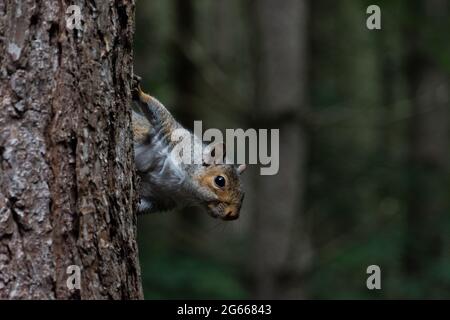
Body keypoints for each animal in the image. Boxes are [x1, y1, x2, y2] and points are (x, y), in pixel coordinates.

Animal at [130, 75, 246, 220]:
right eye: (220, 181)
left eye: (243, 195)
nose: (233, 215)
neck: (185, 188)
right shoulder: (178, 141)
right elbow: (163, 117)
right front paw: (139, 93)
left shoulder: (164, 199)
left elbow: (148, 204)